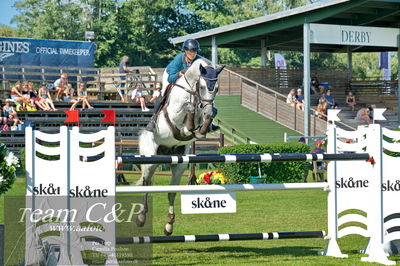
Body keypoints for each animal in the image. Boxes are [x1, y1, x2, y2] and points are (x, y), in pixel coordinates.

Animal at [137, 58, 225, 235]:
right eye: (202, 87)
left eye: (217, 88)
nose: (207, 110)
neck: (192, 93)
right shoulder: (175, 115)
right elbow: (186, 112)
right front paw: (189, 120)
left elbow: (200, 126)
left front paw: (206, 122)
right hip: (150, 162)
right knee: (146, 183)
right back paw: (141, 217)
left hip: (178, 164)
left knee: (171, 192)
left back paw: (169, 225)